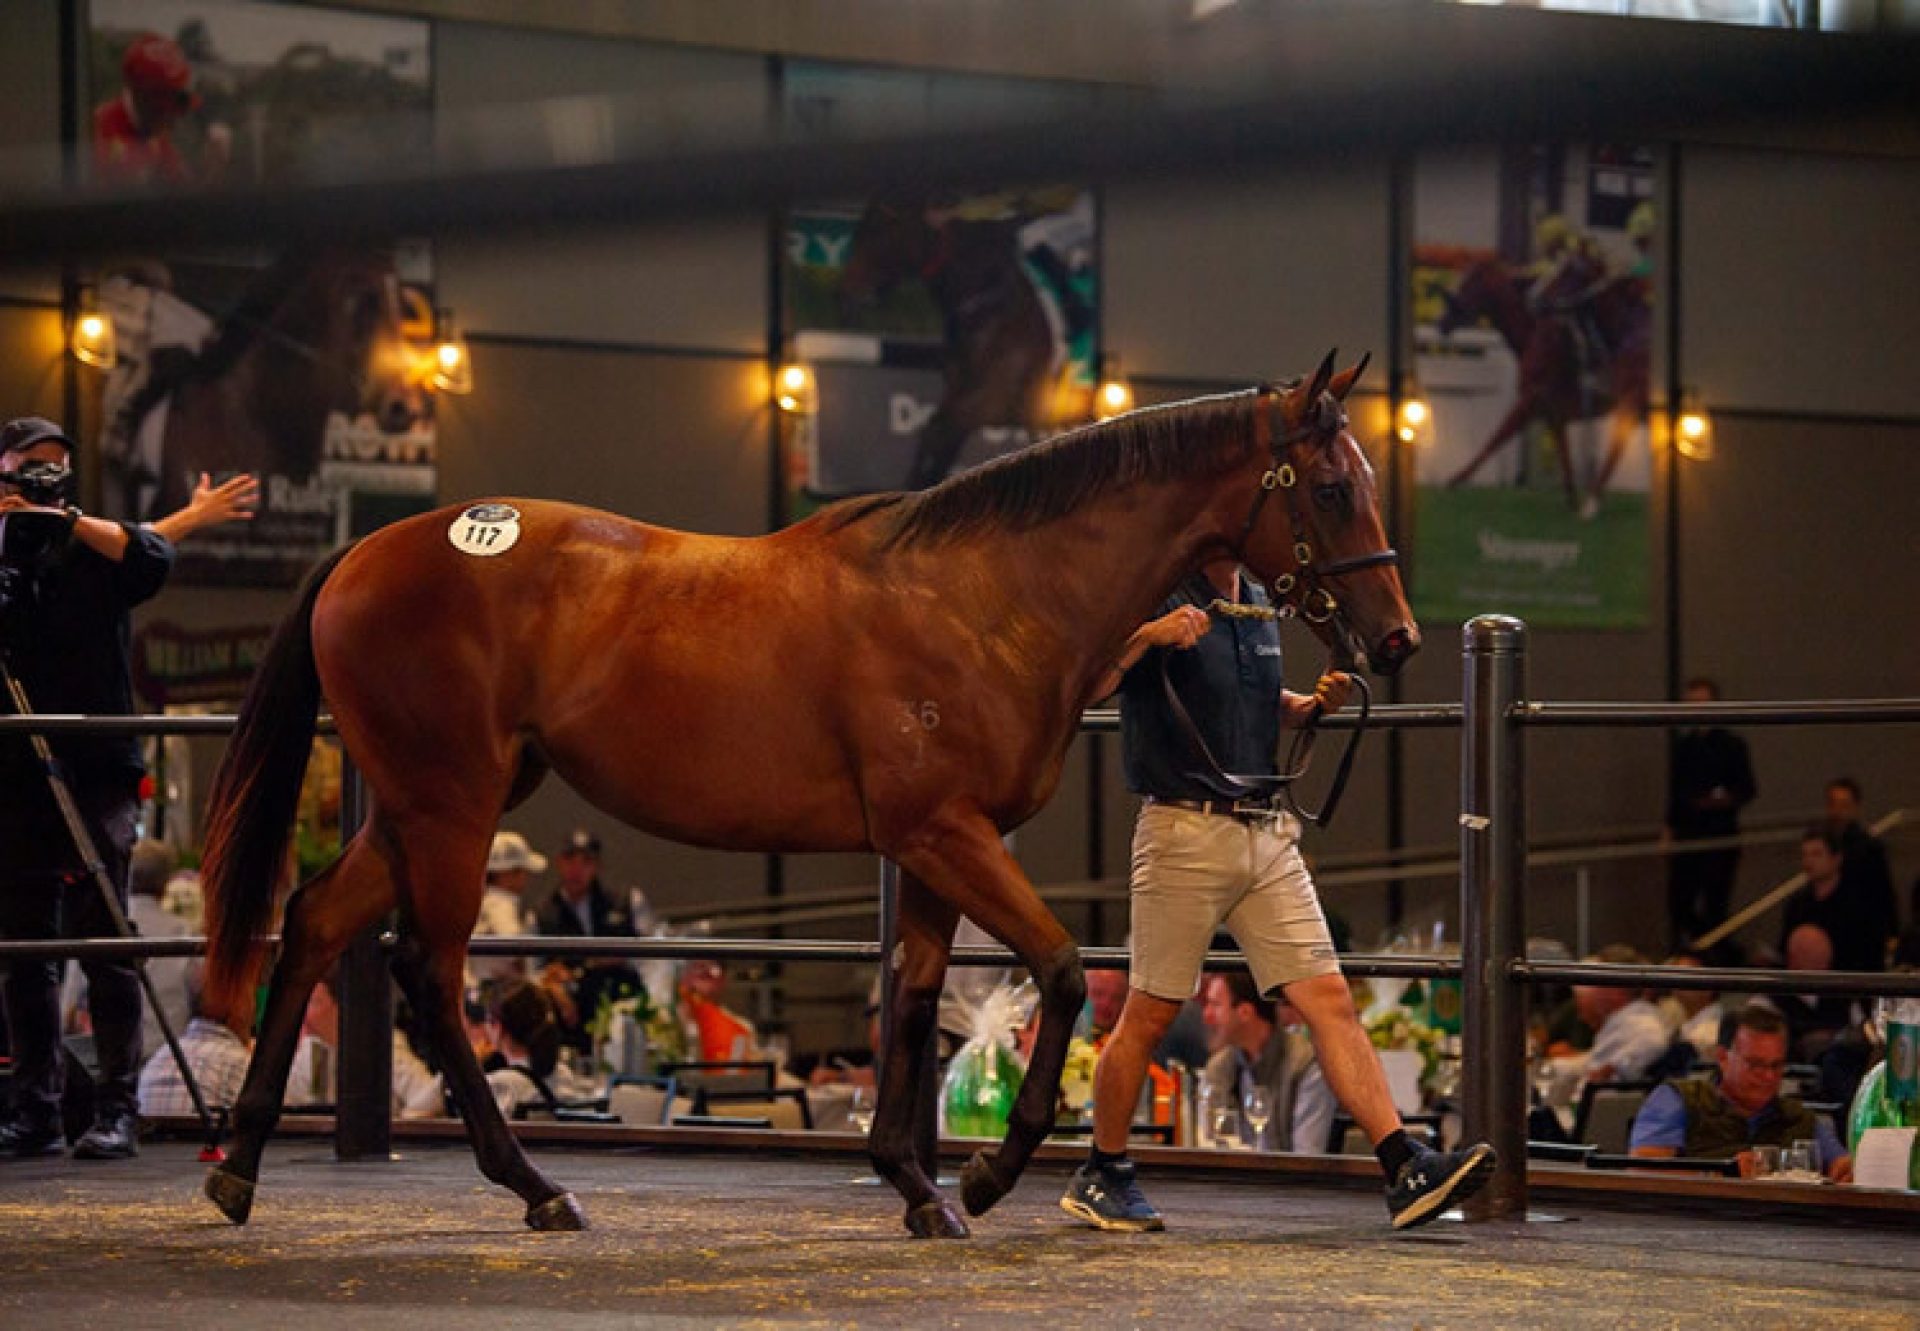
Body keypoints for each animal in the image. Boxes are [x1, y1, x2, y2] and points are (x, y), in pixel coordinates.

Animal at [198, 349, 1428, 1236]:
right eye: (1330, 487)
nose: (1396, 640)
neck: (985, 593)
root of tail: (363, 550)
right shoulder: (946, 834)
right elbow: (1065, 971)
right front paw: (985, 1177)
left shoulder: (936, 846)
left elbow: (917, 997)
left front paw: (916, 1184)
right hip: (449, 810)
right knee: (431, 974)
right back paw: (536, 1186)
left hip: (419, 810)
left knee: (313, 922)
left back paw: (241, 1167)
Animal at [840, 196, 1067, 487]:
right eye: (859, 231)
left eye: (877, 231)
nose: (845, 293)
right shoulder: (958, 390)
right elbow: (934, 433)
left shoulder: (991, 401)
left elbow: (942, 431)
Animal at [1443, 253, 1651, 514]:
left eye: (1471, 283)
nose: (1444, 320)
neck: (1534, 334)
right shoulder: (1552, 411)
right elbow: (1563, 454)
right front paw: (1571, 499)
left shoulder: (1531, 399)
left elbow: (1496, 438)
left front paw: (1454, 480)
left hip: (1632, 399)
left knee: (1618, 446)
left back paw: (1592, 503)